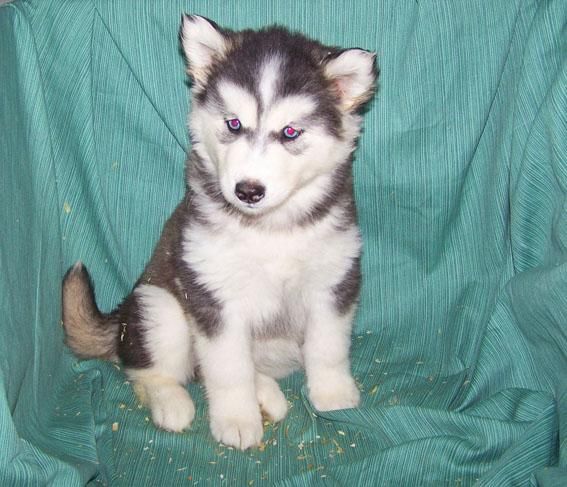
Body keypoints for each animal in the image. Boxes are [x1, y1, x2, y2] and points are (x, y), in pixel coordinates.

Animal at [63, 14, 378, 450]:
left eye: (290, 132)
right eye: (234, 123)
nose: (247, 190)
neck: (270, 228)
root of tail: (120, 319)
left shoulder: (333, 280)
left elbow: (328, 347)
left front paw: (333, 395)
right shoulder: (213, 294)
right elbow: (228, 370)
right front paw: (236, 420)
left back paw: (268, 394)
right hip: (159, 309)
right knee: (149, 369)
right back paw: (172, 403)